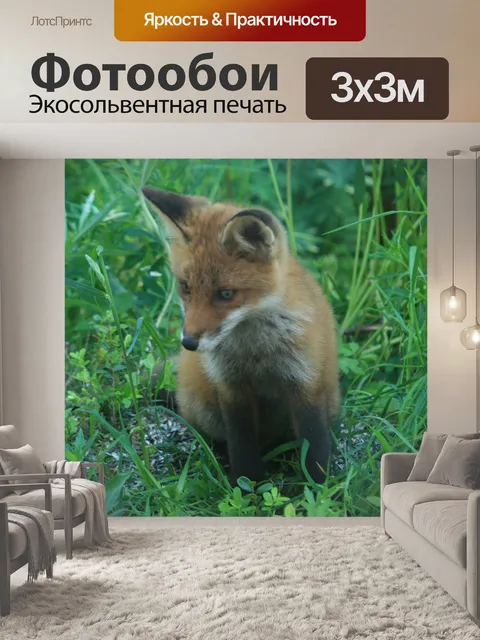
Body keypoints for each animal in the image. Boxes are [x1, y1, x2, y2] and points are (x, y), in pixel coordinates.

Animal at [142, 185, 341, 485]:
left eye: (225, 293)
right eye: (186, 287)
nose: (188, 343)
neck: (256, 350)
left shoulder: (306, 381)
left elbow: (314, 447)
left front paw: (321, 488)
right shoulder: (231, 388)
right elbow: (241, 444)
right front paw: (247, 486)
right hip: (203, 408)